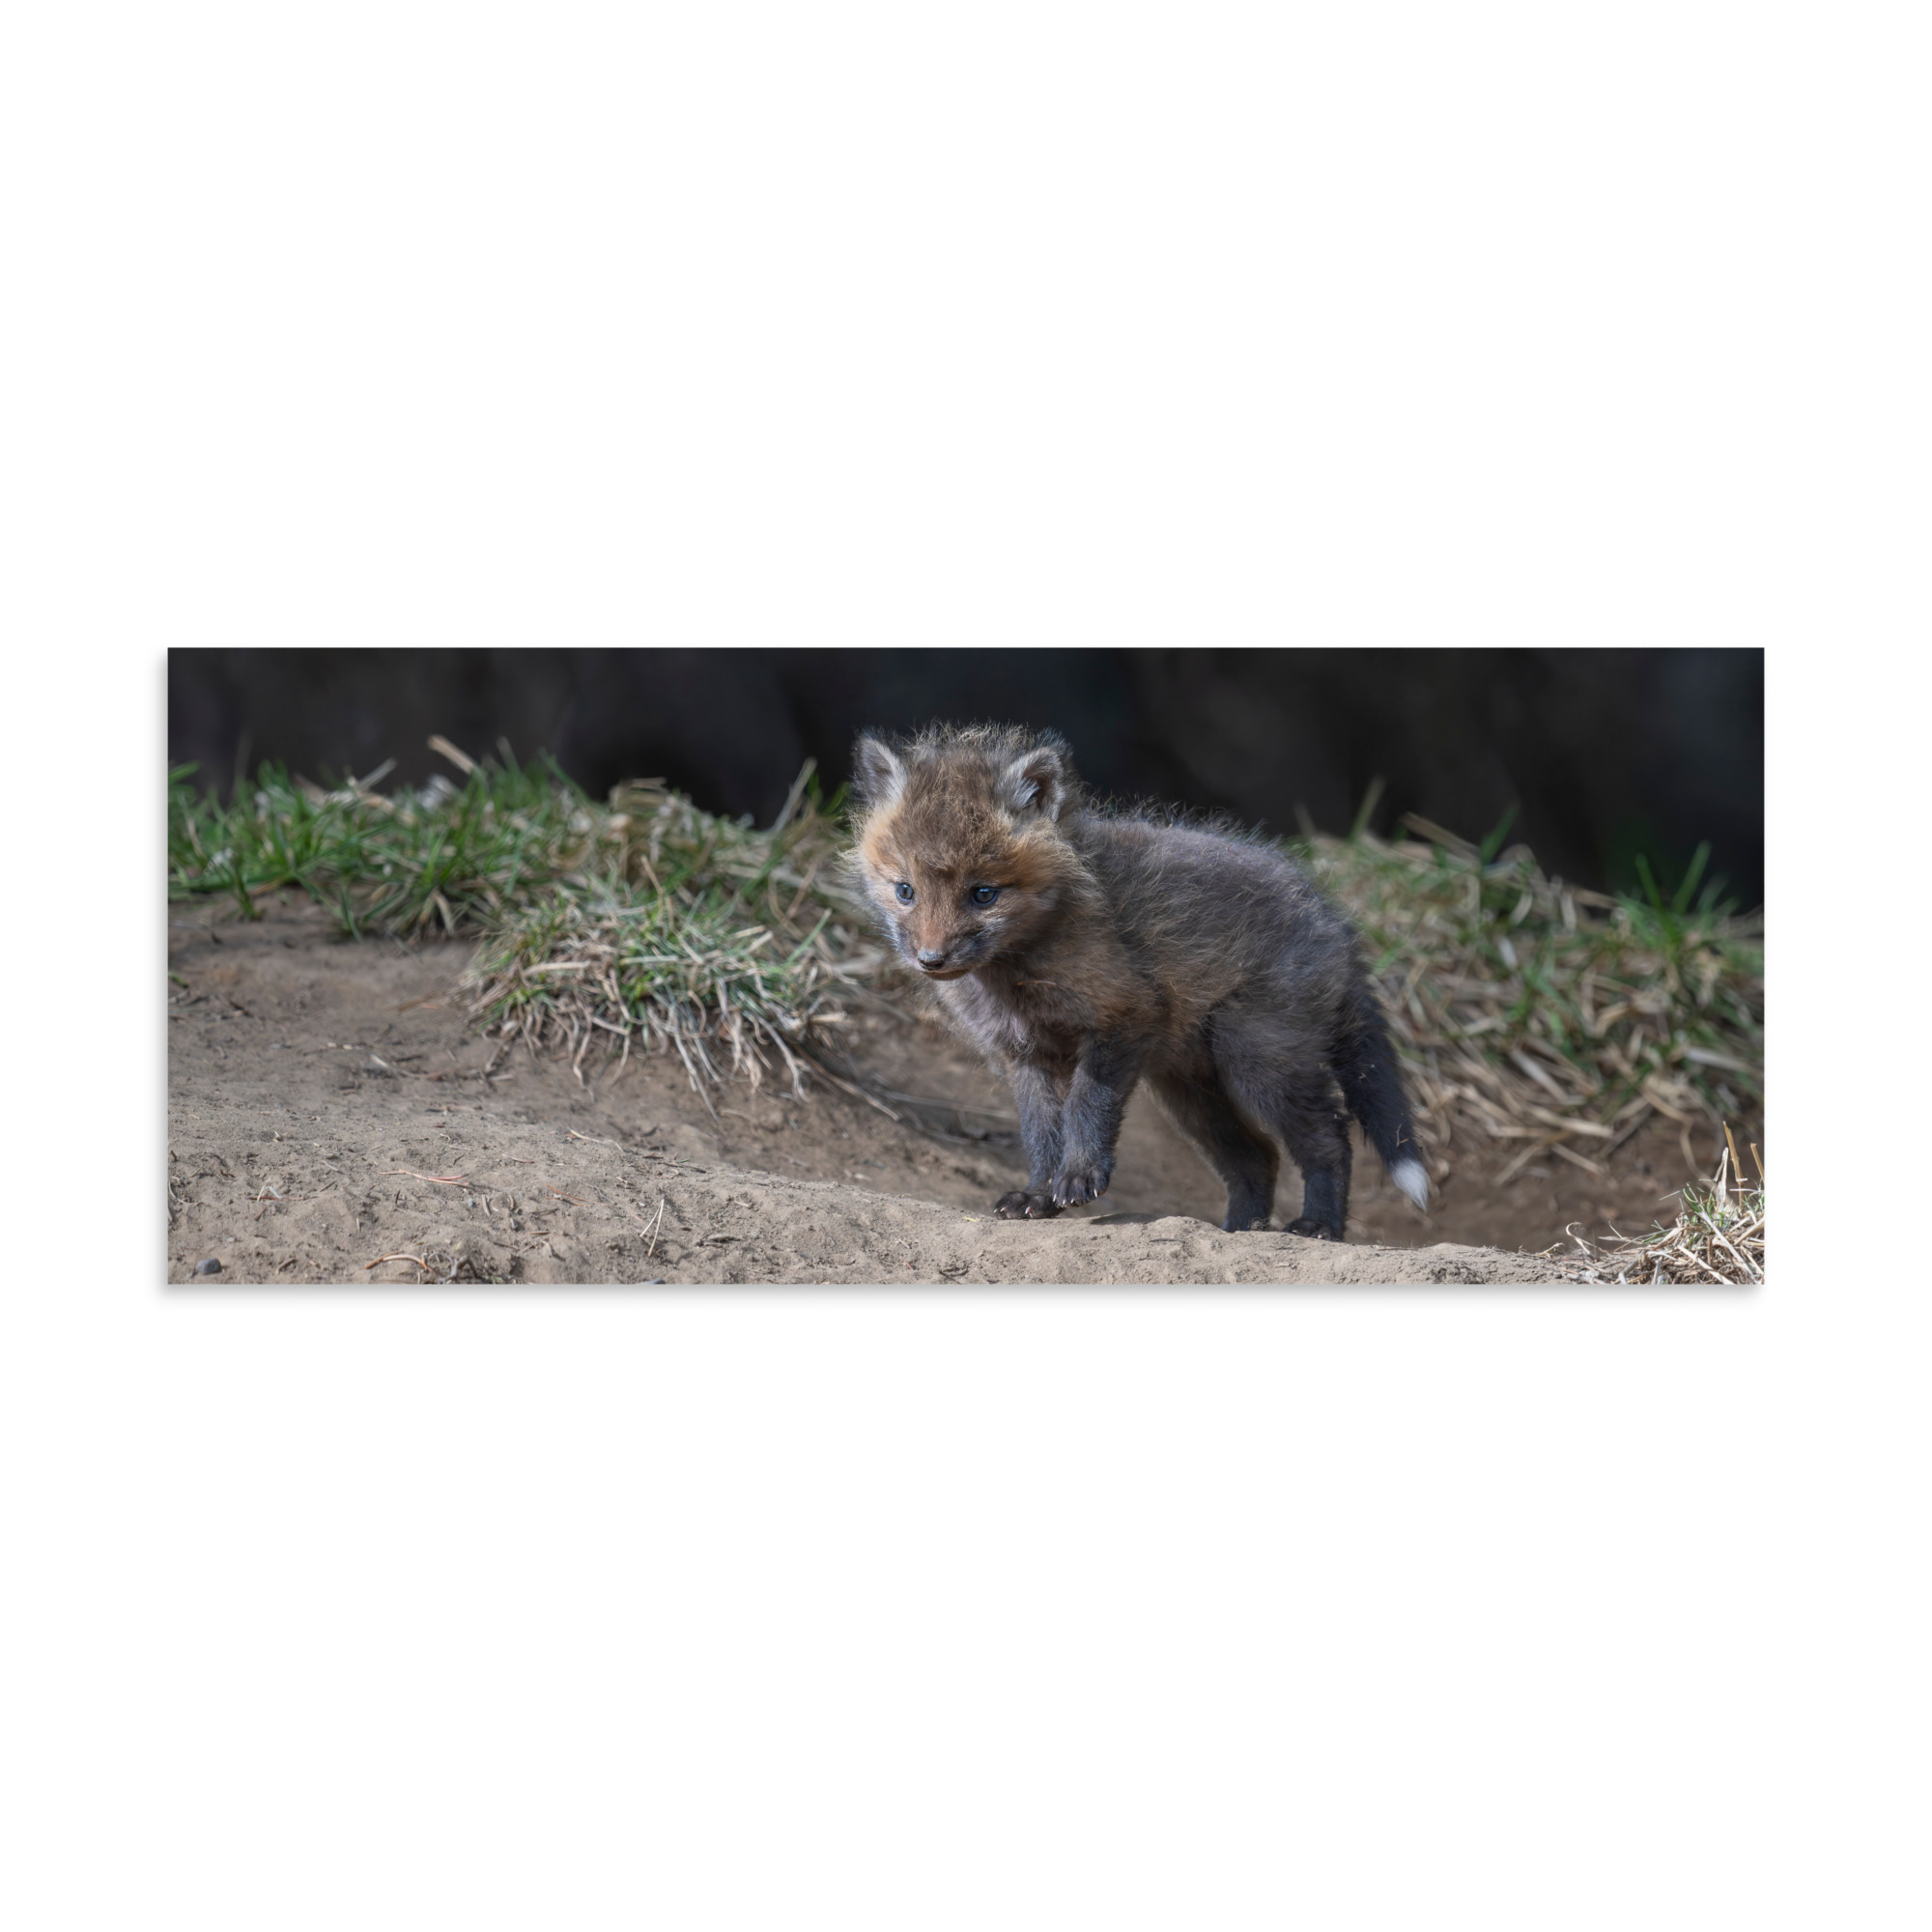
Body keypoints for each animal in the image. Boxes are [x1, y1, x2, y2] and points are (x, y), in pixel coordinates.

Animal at [847, 722, 1429, 1239]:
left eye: (983, 894)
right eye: (905, 891)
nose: (931, 959)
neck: (1018, 975)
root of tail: (1336, 922)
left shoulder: (1123, 1017)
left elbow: (1087, 1106)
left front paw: (1079, 1176)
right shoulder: (1026, 1054)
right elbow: (1040, 1133)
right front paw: (1038, 1195)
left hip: (1258, 1061)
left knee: (1330, 1138)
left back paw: (1319, 1226)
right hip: (1191, 1091)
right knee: (1257, 1157)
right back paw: (1240, 1231)